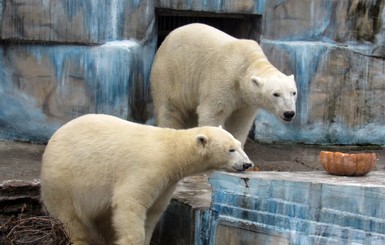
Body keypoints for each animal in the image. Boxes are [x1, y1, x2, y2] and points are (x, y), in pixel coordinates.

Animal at [150, 23, 296, 145]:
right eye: (276, 94)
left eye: (294, 92)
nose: (289, 113)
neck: (247, 63)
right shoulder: (223, 78)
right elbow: (212, 113)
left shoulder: (247, 101)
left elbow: (240, 122)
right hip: (170, 73)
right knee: (169, 109)